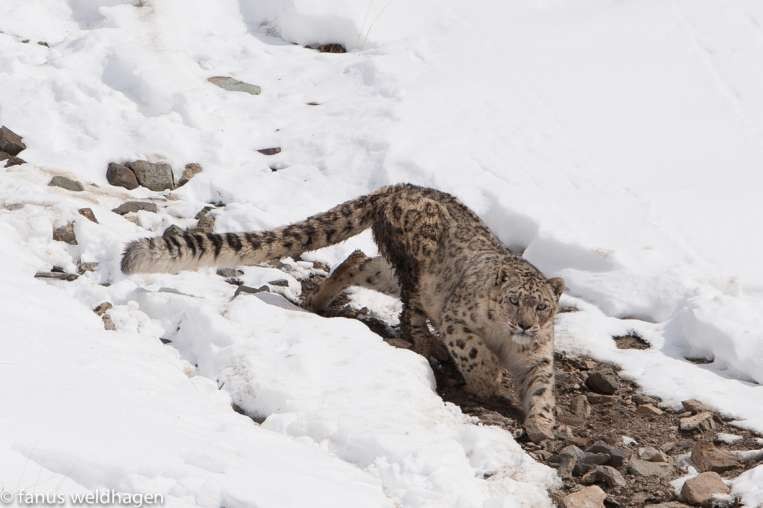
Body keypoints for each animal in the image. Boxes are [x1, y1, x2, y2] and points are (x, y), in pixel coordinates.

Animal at [122, 184, 564, 440]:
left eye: (542, 306)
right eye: (512, 300)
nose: (525, 325)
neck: (506, 340)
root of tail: (396, 187)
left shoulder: (538, 355)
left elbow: (542, 386)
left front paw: (542, 424)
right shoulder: (459, 320)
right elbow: (474, 352)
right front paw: (487, 380)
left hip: (392, 268)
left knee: (359, 261)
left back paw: (321, 299)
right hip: (417, 266)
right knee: (411, 310)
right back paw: (426, 344)